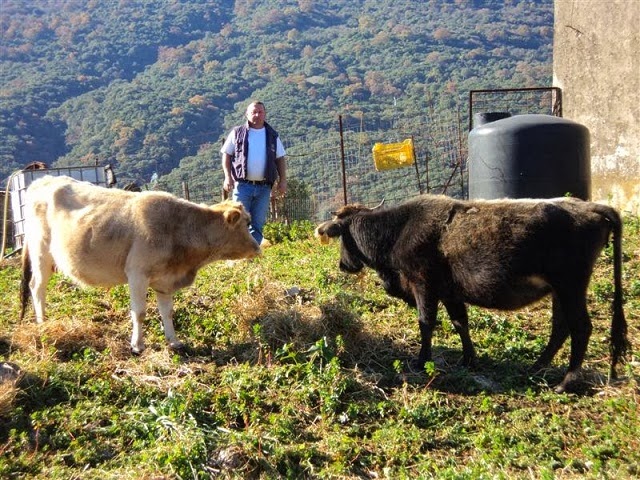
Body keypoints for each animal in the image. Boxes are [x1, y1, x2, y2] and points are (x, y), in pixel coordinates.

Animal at [20, 176, 260, 352]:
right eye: (246, 222)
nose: (258, 247)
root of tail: (43, 179)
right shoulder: (137, 274)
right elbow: (140, 312)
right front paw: (137, 345)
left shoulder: (165, 281)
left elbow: (167, 312)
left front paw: (174, 341)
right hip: (41, 253)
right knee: (37, 287)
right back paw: (42, 323)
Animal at [316, 195, 632, 394]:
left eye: (341, 237)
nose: (343, 265)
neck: (399, 230)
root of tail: (591, 207)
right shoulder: (450, 293)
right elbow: (460, 323)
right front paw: (469, 359)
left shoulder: (424, 285)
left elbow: (426, 323)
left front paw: (421, 361)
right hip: (559, 291)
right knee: (560, 328)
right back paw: (536, 366)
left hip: (570, 286)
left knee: (580, 328)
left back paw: (566, 382)